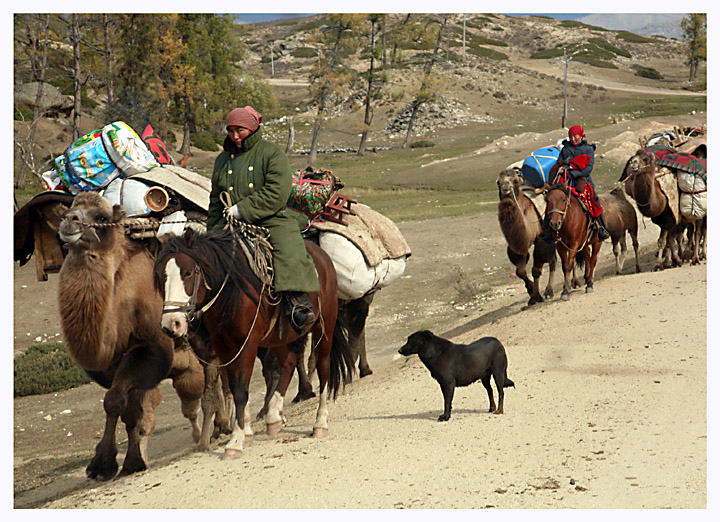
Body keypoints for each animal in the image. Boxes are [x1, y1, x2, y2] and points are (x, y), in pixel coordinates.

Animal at [155, 230, 354, 458]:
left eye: (187, 272)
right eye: (160, 276)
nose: (172, 324)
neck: (231, 293)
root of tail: (322, 256)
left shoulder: (247, 344)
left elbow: (242, 389)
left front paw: (235, 441)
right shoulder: (224, 347)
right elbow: (235, 387)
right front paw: (246, 431)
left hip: (324, 327)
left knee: (323, 368)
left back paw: (320, 423)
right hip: (280, 337)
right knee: (288, 364)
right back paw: (274, 416)